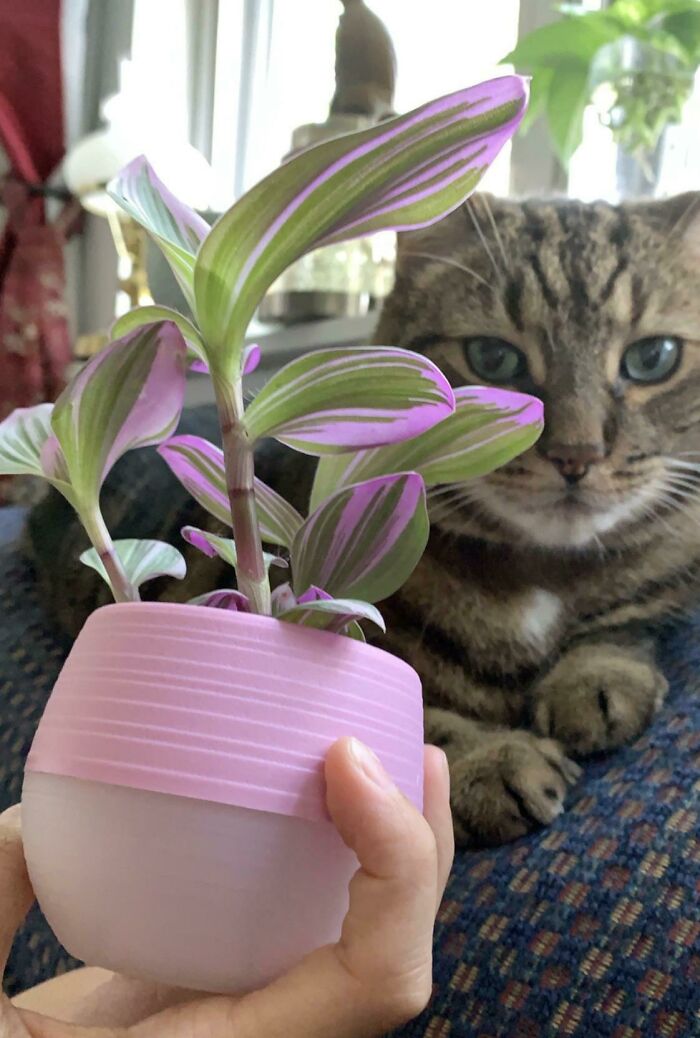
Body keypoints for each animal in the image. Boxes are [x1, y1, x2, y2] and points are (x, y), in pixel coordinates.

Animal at [32, 190, 700, 847]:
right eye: (493, 358)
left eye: (653, 358)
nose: (577, 455)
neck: (538, 572)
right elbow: (409, 722)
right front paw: (492, 759)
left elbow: (620, 625)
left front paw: (594, 679)